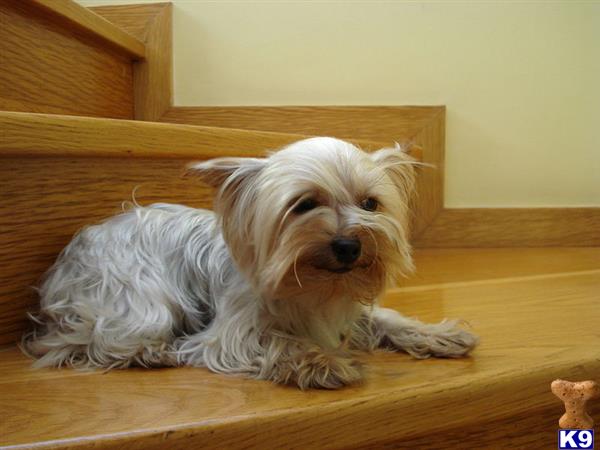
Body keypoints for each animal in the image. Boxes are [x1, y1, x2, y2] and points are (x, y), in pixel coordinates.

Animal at [22, 138, 478, 390]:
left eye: (370, 204)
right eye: (304, 204)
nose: (349, 246)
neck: (314, 286)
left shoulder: (348, 308)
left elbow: (386, 319)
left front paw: (440, 335)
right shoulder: (232, 333)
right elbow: (277, 340)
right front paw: (321, 362)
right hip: (135, 295)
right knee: (91, 341)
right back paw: (151, 353)